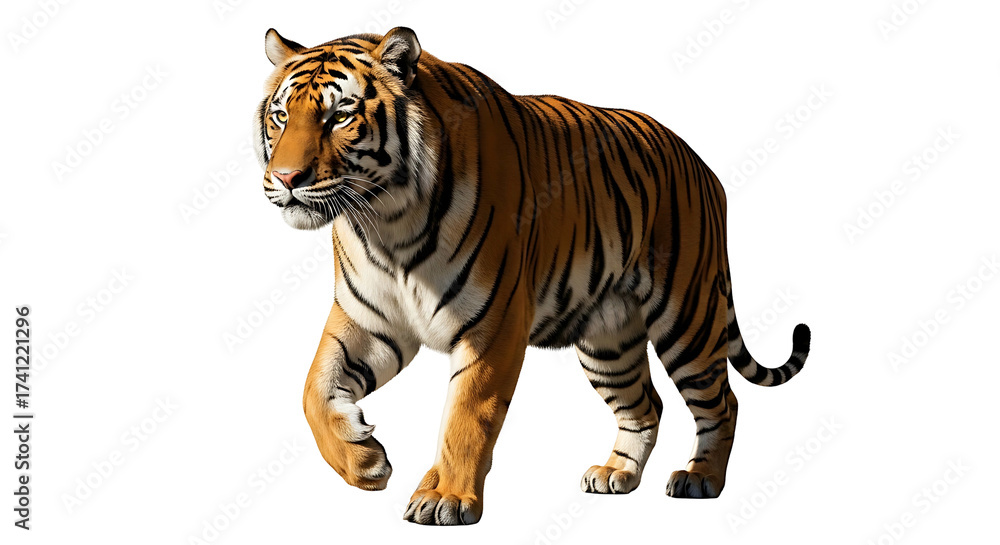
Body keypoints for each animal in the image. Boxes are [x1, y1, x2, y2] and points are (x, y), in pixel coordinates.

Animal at [253, 26, 811, 526]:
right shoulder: (368, 322)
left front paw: (446, 498)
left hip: (688, 318)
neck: (387, 222)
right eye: (281, 116)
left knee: (723, 402)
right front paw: (365, 461)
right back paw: (616, 474)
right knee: (645, 405)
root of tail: (703, 166)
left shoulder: (492, 326)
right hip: (608, 341)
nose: (285, 178)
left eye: (340, 116)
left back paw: (701, 478)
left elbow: (466, 416)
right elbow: (312, 391)